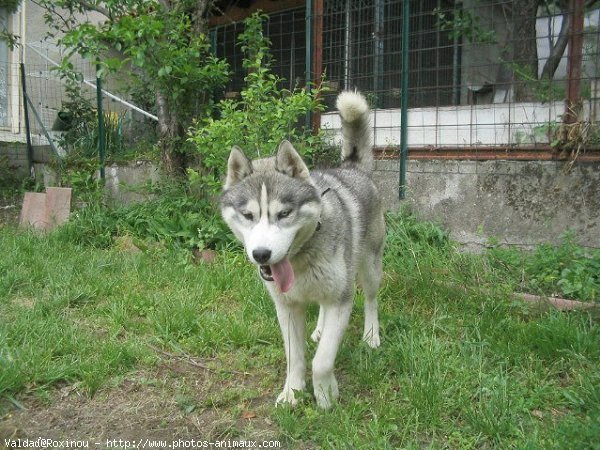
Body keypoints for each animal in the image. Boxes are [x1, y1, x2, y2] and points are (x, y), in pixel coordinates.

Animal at [220, 90, 384, 408]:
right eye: (248, 215)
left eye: (284, 214)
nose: (261, 254)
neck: (299, 259)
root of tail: (351, 168)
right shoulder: (286, 307)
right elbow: (293, 357)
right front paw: (292, 392)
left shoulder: (341, 300)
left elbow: (322, 361)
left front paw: (325, 396)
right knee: (320, 305)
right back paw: (319, 330)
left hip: (369, 267)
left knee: (371, 300)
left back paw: (371, 335)